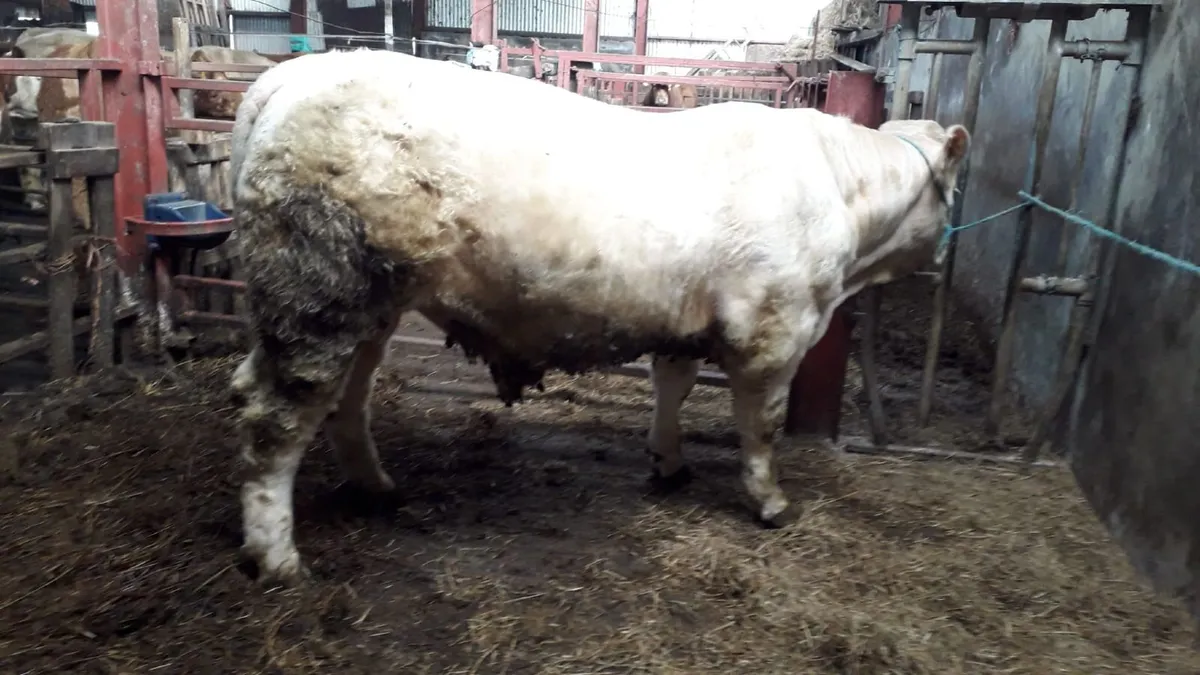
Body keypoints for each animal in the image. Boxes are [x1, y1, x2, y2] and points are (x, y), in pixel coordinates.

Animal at [228, 49, 970, 585]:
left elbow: (671, 385)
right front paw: (770, 501)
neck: (840, 195)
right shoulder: (774, 329)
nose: (947, 251)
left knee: (341, 400)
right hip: (318, 295)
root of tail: (294, 74)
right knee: (276, 417)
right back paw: (277, 557)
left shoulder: (685, 323)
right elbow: (762, 426)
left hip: (368, 303)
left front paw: (668, 463)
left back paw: (375, 486)